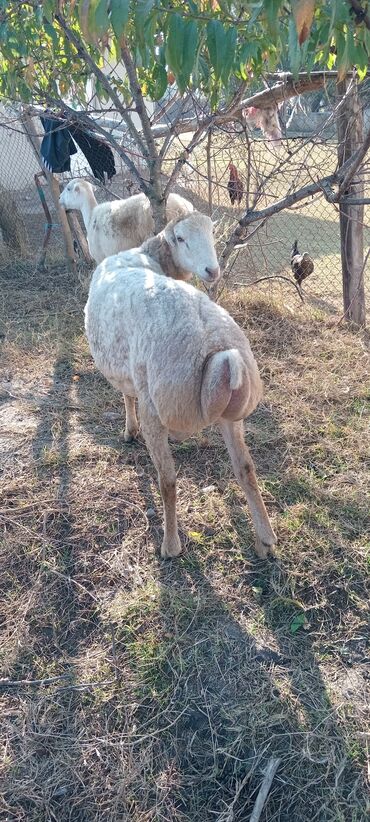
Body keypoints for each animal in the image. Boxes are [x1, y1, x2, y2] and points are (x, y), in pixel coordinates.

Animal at [84, 222, 274, 564]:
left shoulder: (131, 378)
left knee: (168, 480)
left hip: (156, 406)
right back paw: (265, 539)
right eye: (182, 238)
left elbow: (126, 397)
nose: (212, 270)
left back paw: (170, 545)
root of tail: (218, 348)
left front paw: (129, 431)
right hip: (232, 414)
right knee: (246, 469)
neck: (144, 254)